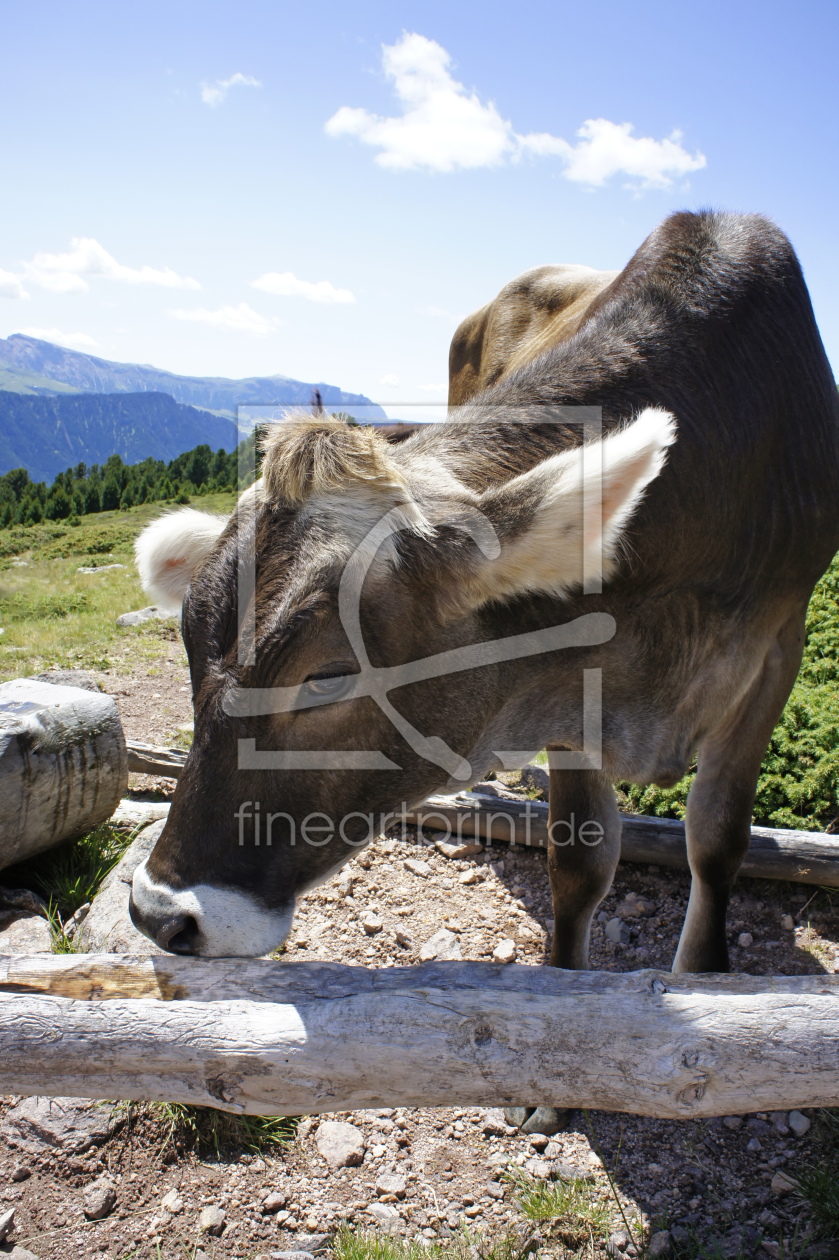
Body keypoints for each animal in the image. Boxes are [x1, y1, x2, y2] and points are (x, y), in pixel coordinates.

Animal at [127, 216, 836, 1008]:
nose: (159, 914)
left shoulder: (779, 644)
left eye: (327, 676)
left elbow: (716, 841)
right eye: (189, 644)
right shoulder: (568, 676)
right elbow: (579, 862)